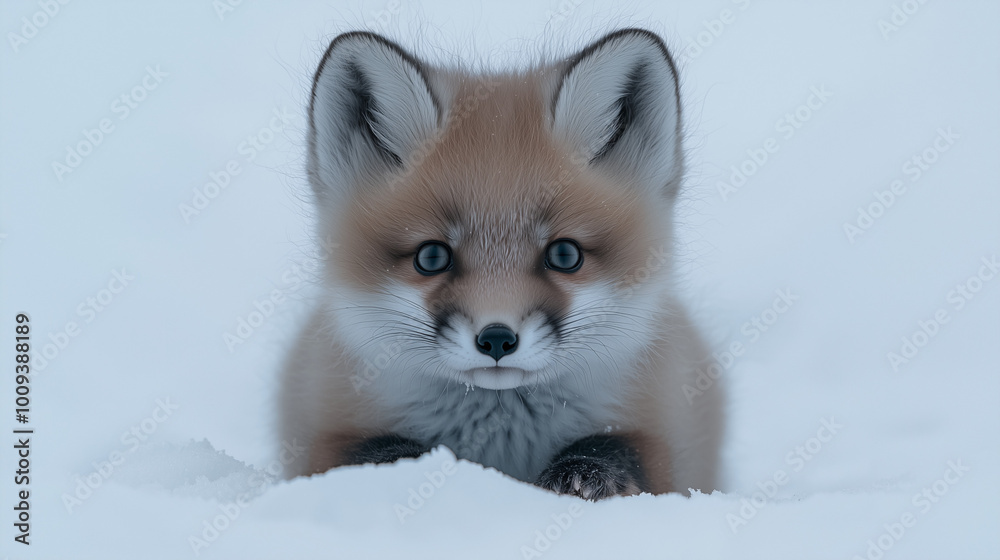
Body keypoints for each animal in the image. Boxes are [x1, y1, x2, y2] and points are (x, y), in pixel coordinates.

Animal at [278, 27, 724, 500]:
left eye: (564, 255)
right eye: (431, 257)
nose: (496, 339)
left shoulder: (665, 435)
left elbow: (619, 449)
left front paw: (584, 472)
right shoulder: (322, 429)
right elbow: (368, 453)